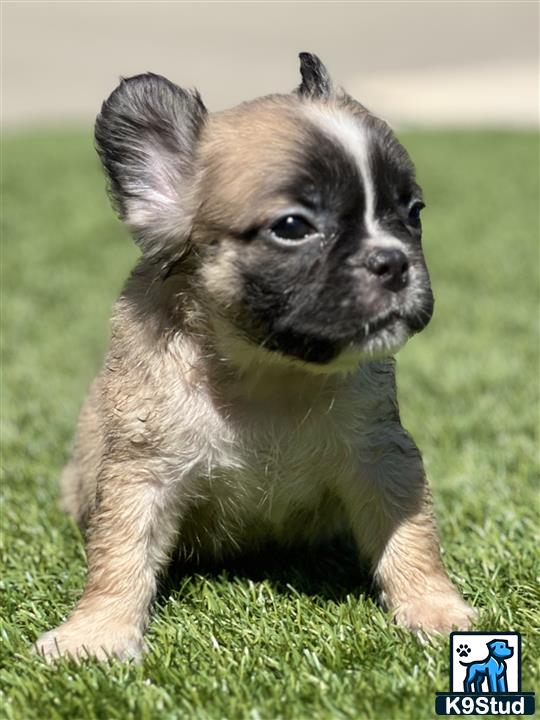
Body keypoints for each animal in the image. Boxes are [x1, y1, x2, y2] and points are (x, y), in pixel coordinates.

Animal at [33, 53, 474, 660]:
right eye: (292, 228)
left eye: (413, 212)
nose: (394, 261)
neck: (269, 373)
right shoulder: (142, 474)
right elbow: (120, 554)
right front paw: (97, 631)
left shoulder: (382, 459)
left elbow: (411, 537)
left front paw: (434, 608)